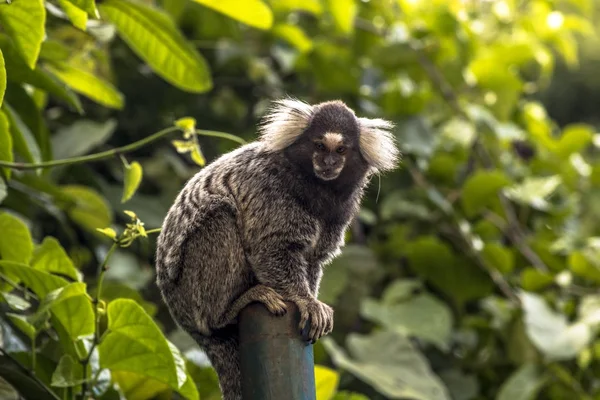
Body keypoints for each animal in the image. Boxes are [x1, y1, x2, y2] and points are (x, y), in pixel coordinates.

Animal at [155, 97, 398, 400]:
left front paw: (311, 299)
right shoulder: (269, 191)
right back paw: (229, 310)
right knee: (220, 218)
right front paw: (306, 301)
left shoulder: (339, 213)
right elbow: (272, 248)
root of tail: (182, 317)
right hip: (189, 291)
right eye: (320, 145)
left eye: (341, 149)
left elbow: (313, 260)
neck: (315, 187)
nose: (328, 163)